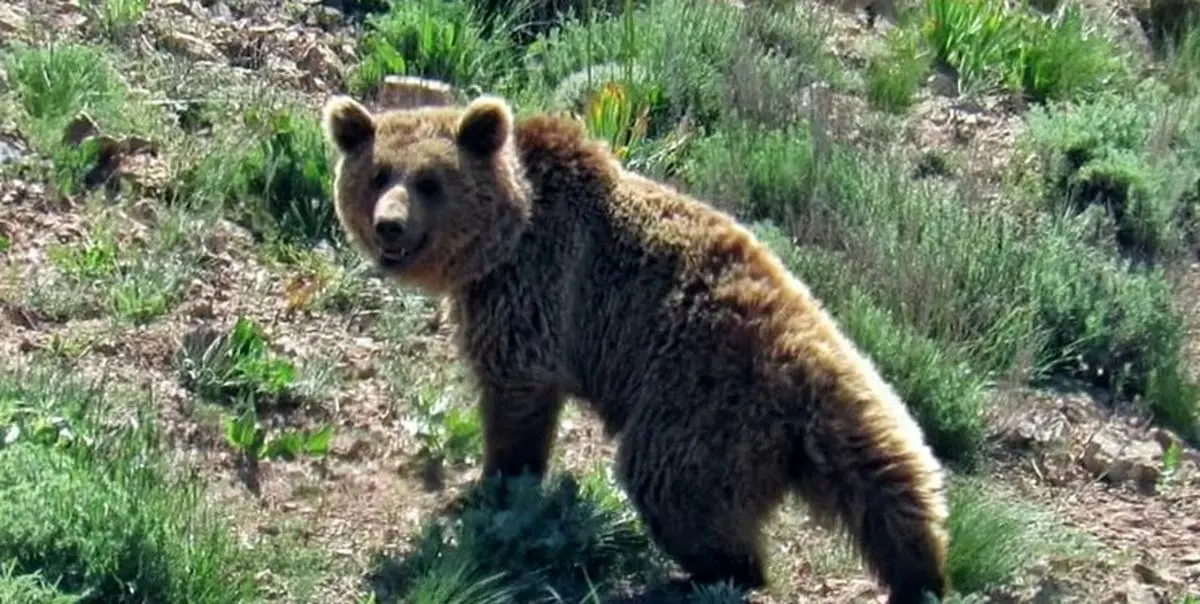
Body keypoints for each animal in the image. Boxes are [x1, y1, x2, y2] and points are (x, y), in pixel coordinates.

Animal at [324, 84, 950, 604]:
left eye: (430, 181)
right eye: (378, 174)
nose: (389, 226)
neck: (503, 241)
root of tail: (806, 363)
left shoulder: (540, 288)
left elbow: (516, 393)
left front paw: (492, 487)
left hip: (702, 407)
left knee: (675, 488)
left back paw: (695, 577)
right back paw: (919, 571)